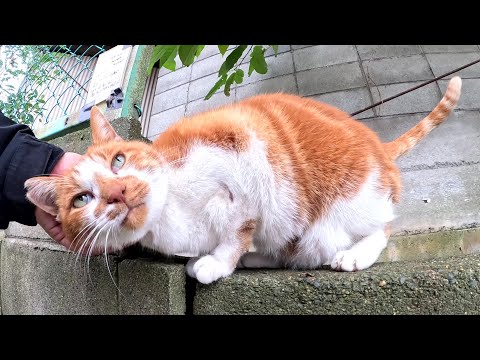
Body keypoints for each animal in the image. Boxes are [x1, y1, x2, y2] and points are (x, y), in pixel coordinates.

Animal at [25, 76, 462, 284]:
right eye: (82, 199)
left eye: (119, 161)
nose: (118, 191)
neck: (172, 214)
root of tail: (380, 149)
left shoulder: (243, 156)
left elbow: (238, 229)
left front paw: (218, 263)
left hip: (346, 204)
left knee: (383, 226)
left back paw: (355, 254)